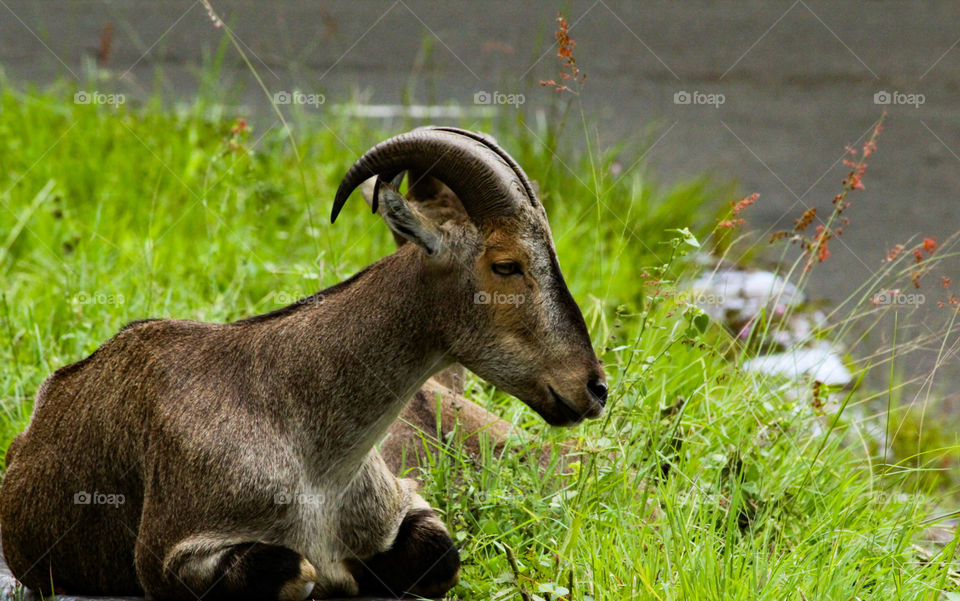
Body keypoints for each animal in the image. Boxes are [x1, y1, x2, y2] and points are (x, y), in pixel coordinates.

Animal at [0, 127, 608, 600]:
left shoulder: (399, 502)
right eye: (506, 265)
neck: (311, 444)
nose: (593, 387)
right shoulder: (173, 552)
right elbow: (298, 570)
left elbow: (439, 556)